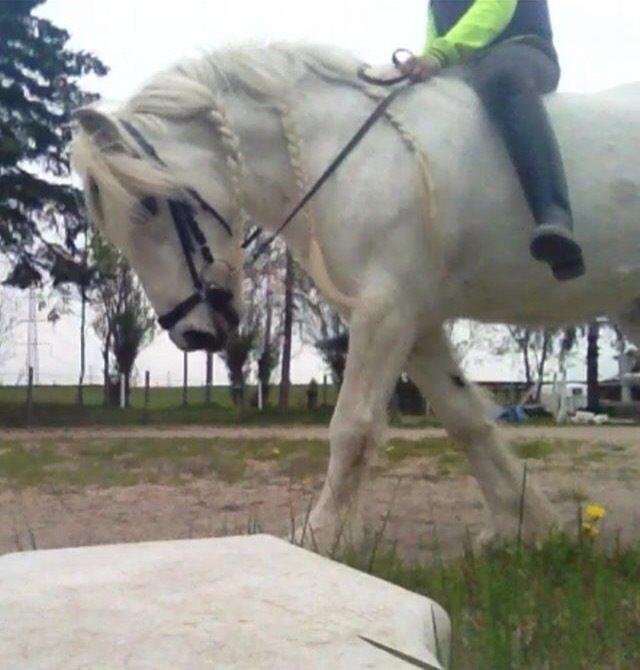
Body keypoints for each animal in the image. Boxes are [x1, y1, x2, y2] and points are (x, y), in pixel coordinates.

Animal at [72, 43, 640, 547]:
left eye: (148, 205)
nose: (191, 334)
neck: (350, 154)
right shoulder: (415, 320)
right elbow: (465, 419)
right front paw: (523, 526)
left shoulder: (385, 310)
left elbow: (353, 425)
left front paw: (322, 535)